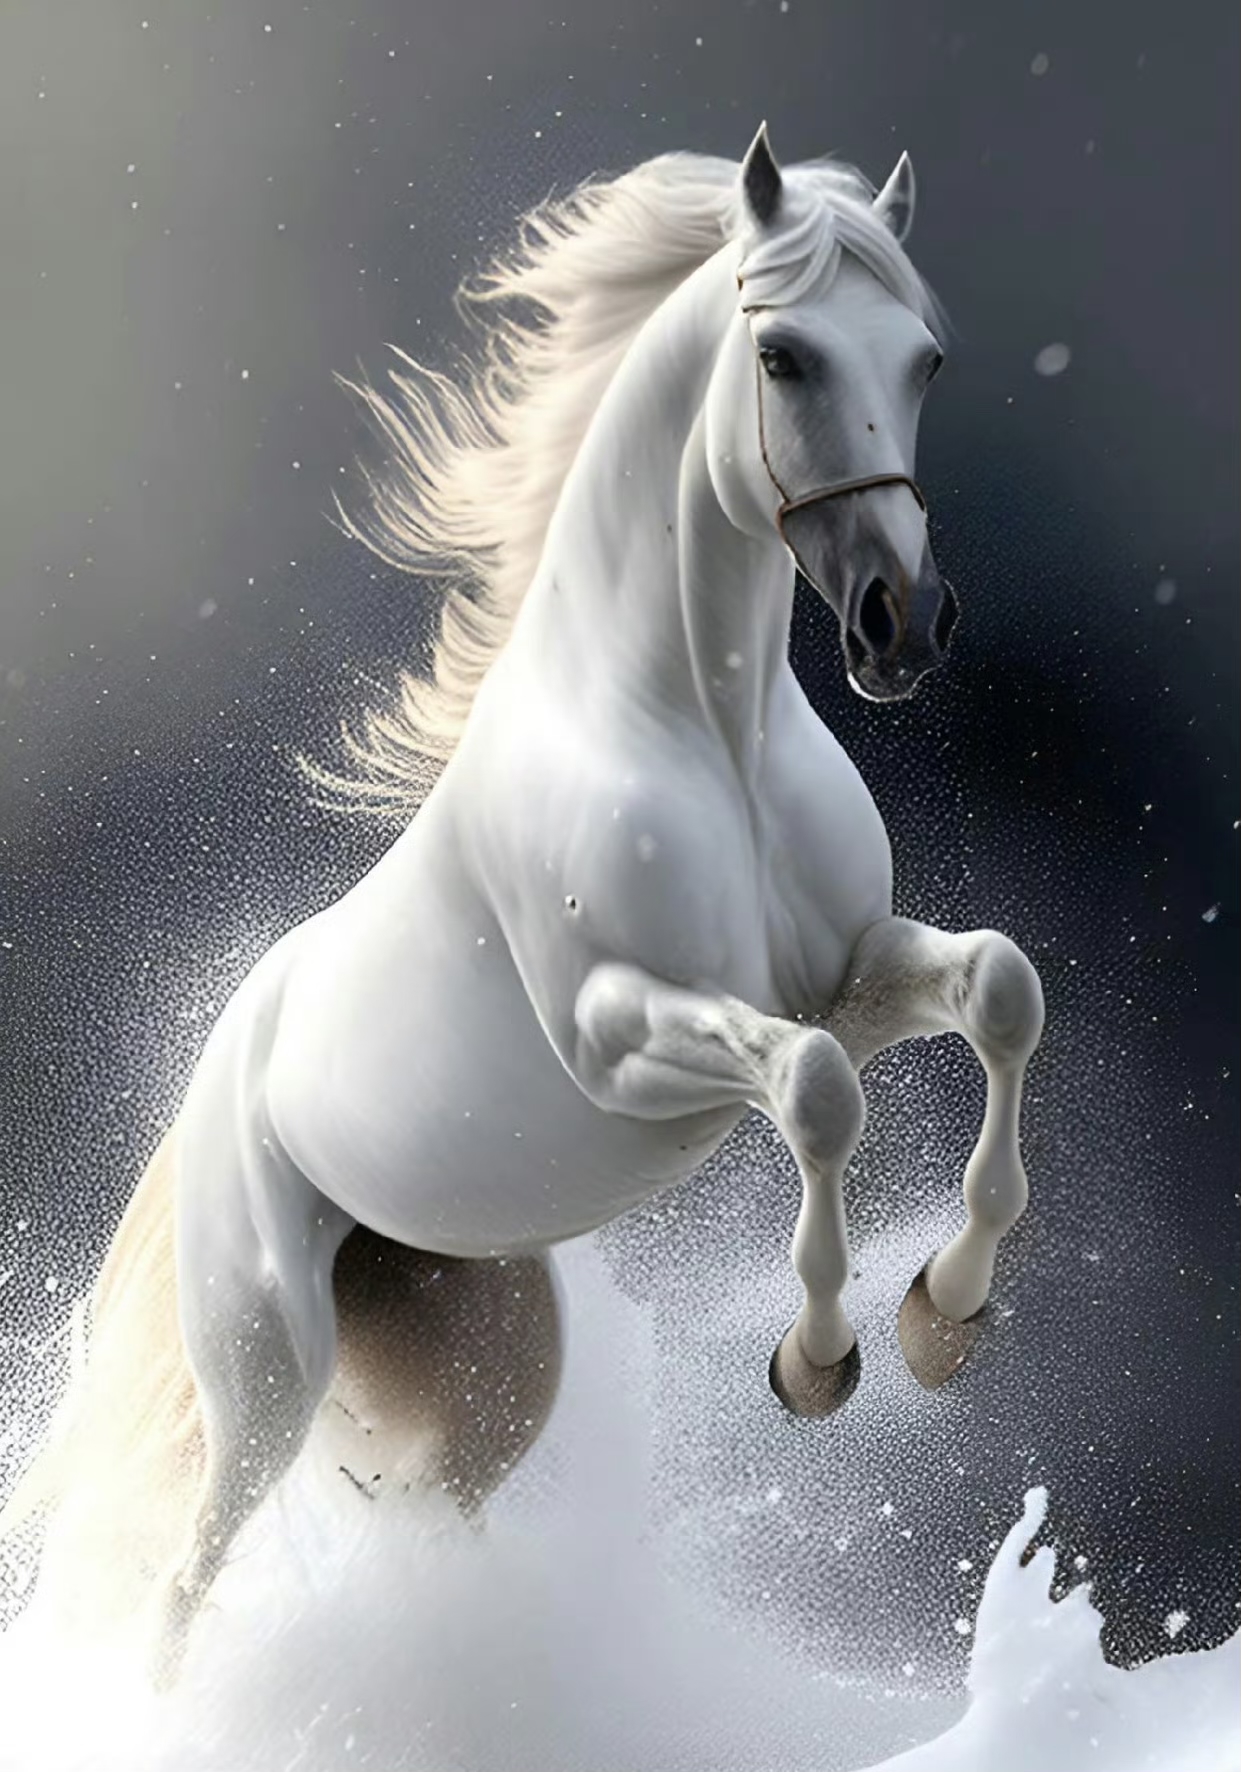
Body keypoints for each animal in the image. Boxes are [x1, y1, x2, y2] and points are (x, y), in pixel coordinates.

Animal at [0, 124, 1044, 1685]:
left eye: (922, 360)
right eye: (783, 355)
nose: (903, 626)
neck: (702, 731)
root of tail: (213, 1082)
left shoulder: (853, 977)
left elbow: (997, 988)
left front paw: (947, 1312)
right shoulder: (629, 1034)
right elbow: (813, 1091)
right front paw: (817, 1359)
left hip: (475, 1372)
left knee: (425, 1521)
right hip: (263, 1369)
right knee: (185, 1573)